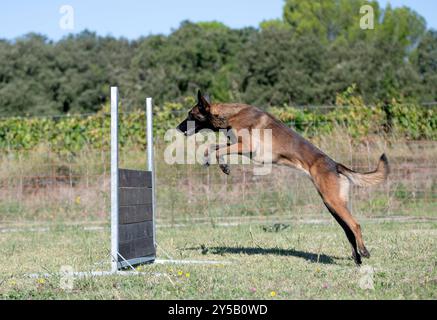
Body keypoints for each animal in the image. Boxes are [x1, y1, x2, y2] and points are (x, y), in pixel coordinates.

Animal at [176, 90, 388, 264]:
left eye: (190, 115)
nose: (178, 128)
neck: (230, 115)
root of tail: (335, 164)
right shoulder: (238, 146)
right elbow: (214, 147)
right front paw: (220, 164)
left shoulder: (247, 146)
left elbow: (216, 149)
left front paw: (218, 163)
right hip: (332, 205)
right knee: (348, 230)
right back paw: (357, 259)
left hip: (333, 201)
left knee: (355, 225)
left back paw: (364, 252)